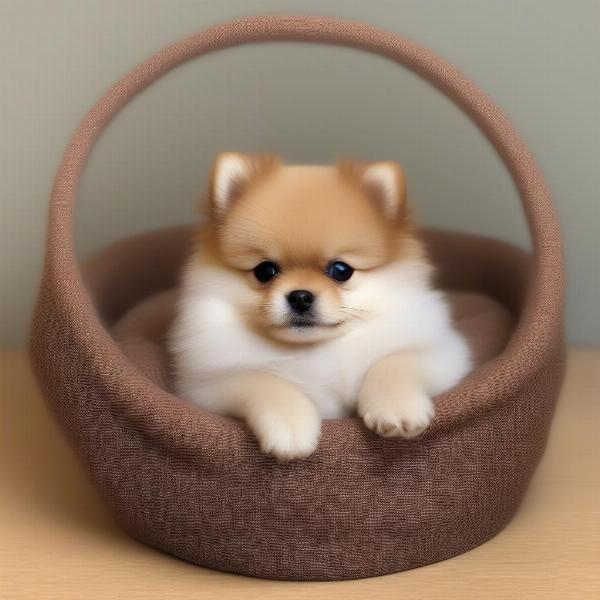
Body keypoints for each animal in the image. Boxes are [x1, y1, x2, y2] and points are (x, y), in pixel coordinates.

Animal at [168, 154, 468, 460]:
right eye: (265, 271)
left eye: (340, 270)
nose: (300, 296)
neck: (315, 351)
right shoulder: (205, 386)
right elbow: (262, 380)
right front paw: (289, 423)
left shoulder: (445, 355)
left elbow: (396, 361)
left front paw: (396, 407)